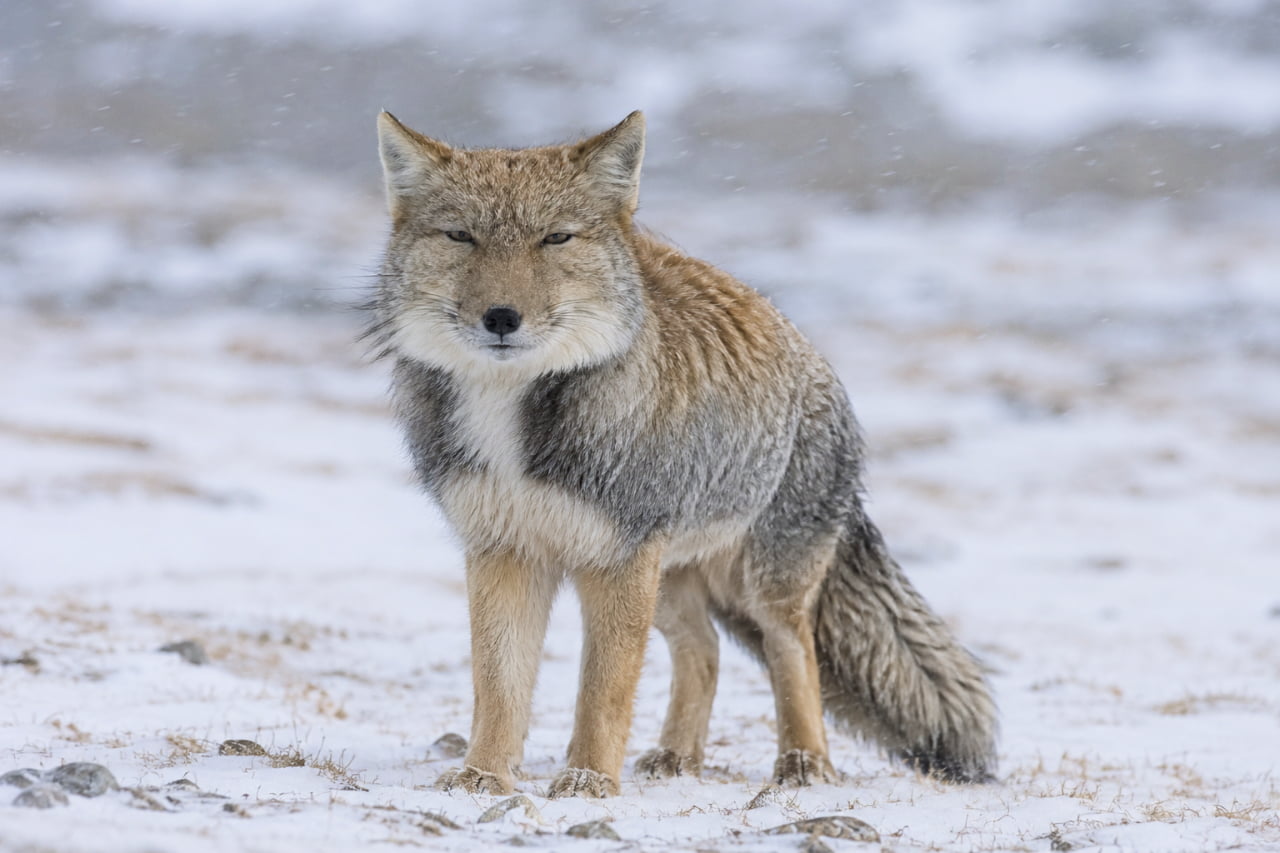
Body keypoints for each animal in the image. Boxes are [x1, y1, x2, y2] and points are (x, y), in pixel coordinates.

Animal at [365, 110, 998, 798]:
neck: (510, 410)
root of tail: (809, 352)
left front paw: (588, 781)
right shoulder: (504, 552)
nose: (501, 318)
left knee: (793, 651)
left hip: (760, 585)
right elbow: (499, 686)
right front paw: (484, 775)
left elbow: (603, 692)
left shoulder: (616, 560)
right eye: (462, 237)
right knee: (706, 650)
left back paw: (804, 763)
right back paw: (678, 756)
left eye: (555, 239)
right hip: (669, 584)